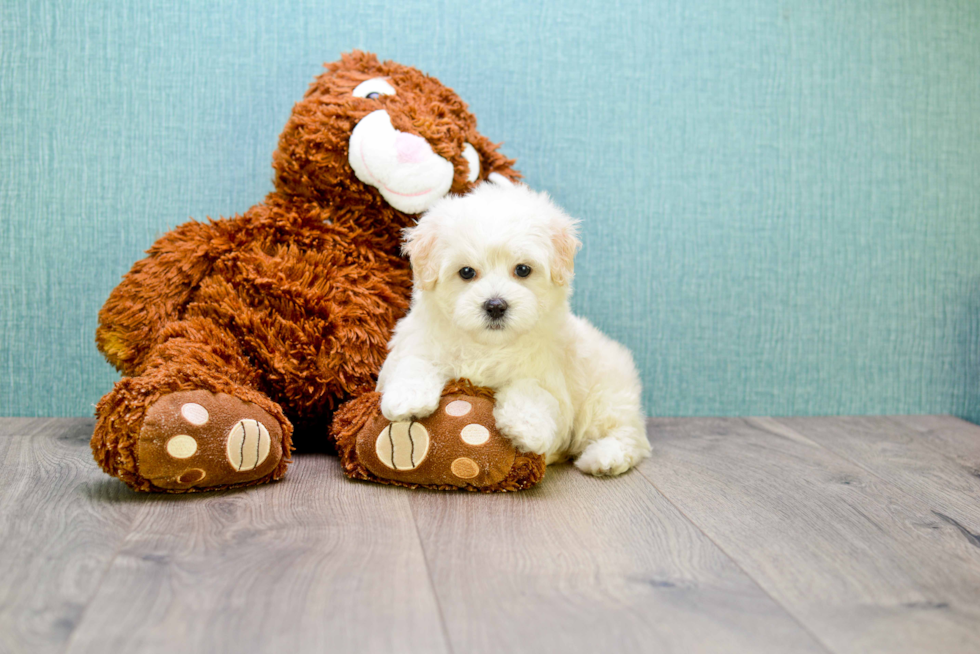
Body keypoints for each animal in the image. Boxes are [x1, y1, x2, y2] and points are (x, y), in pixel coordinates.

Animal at [378, 179, 652, 476]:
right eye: (466, 272)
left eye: (522, 270)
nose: (496, 305)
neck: (487, 345)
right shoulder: (418, 341)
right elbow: (414, 363)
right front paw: (407, 399)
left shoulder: (551, 377)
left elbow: (533, 390)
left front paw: (526, 427)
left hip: (606, 395)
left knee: (627, 435)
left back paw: (603, 457)